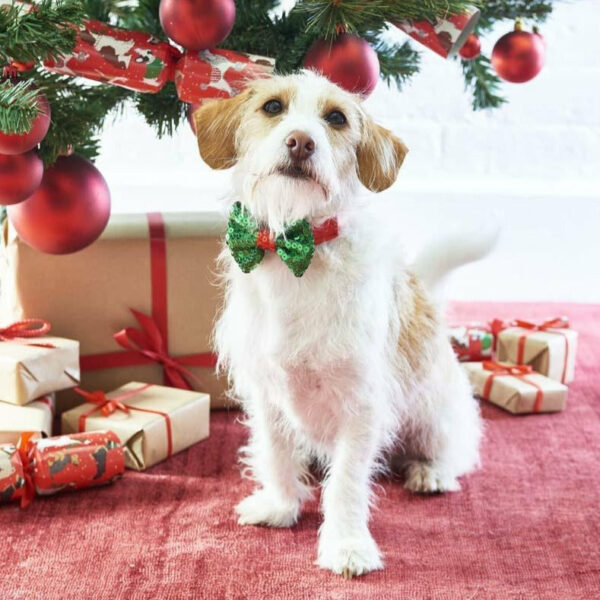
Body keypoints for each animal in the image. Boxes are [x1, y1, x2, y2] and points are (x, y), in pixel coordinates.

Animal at [196, 69, 488, 576]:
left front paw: (347, 545)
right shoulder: (267, 393)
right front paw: (280, 506)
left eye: (336, 118)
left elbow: (348, 482)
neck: (298, 254)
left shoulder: (361, 405)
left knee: (456, 448)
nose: (300, 141)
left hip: (434, 414)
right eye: (273, 107)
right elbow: (275, 453)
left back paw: (430, 471)